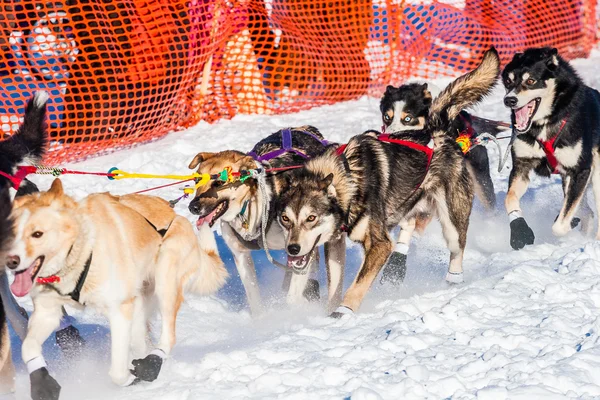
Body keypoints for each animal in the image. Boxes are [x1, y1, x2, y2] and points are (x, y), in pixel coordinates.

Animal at [4, 180, 227, 398]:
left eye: (37, 234)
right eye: (10, 235)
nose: (10, 262)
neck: (81, 251)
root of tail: (176, 214)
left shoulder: (120, 310)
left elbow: (117, 371)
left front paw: (130, 378)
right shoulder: (47, 313)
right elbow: (28, 347)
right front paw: (41, 381)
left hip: (166, 273)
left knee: (168, 336)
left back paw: (152, 364)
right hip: (140, 307)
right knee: (140, 342)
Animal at [188, 127, 346, 316]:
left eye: (219, 182)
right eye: (196, 180)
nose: (193, 207)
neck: (250, 208)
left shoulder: (300, 244)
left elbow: (292, 296)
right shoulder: (241, 255)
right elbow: (254, 298)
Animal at [278, 47, 500, 316]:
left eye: (311, 218)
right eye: (285, 219)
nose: (292, 249)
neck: (348, 177)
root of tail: (438, 131)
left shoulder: (380, 244)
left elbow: (358, 284)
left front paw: (344, 312)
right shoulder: (333, 242)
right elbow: (335, 283)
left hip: (452, 219)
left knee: (457, 247)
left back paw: (454, 278)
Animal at [502, 47, 600, 250]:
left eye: (531, 81)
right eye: (508, 81)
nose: (509, 100)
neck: (545, 124)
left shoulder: (580, 170)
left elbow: (560, 225)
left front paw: (566, 222)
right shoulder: (522, 167)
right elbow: (509, 198)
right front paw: (520, 231)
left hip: (595, 177)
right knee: (587, 211)